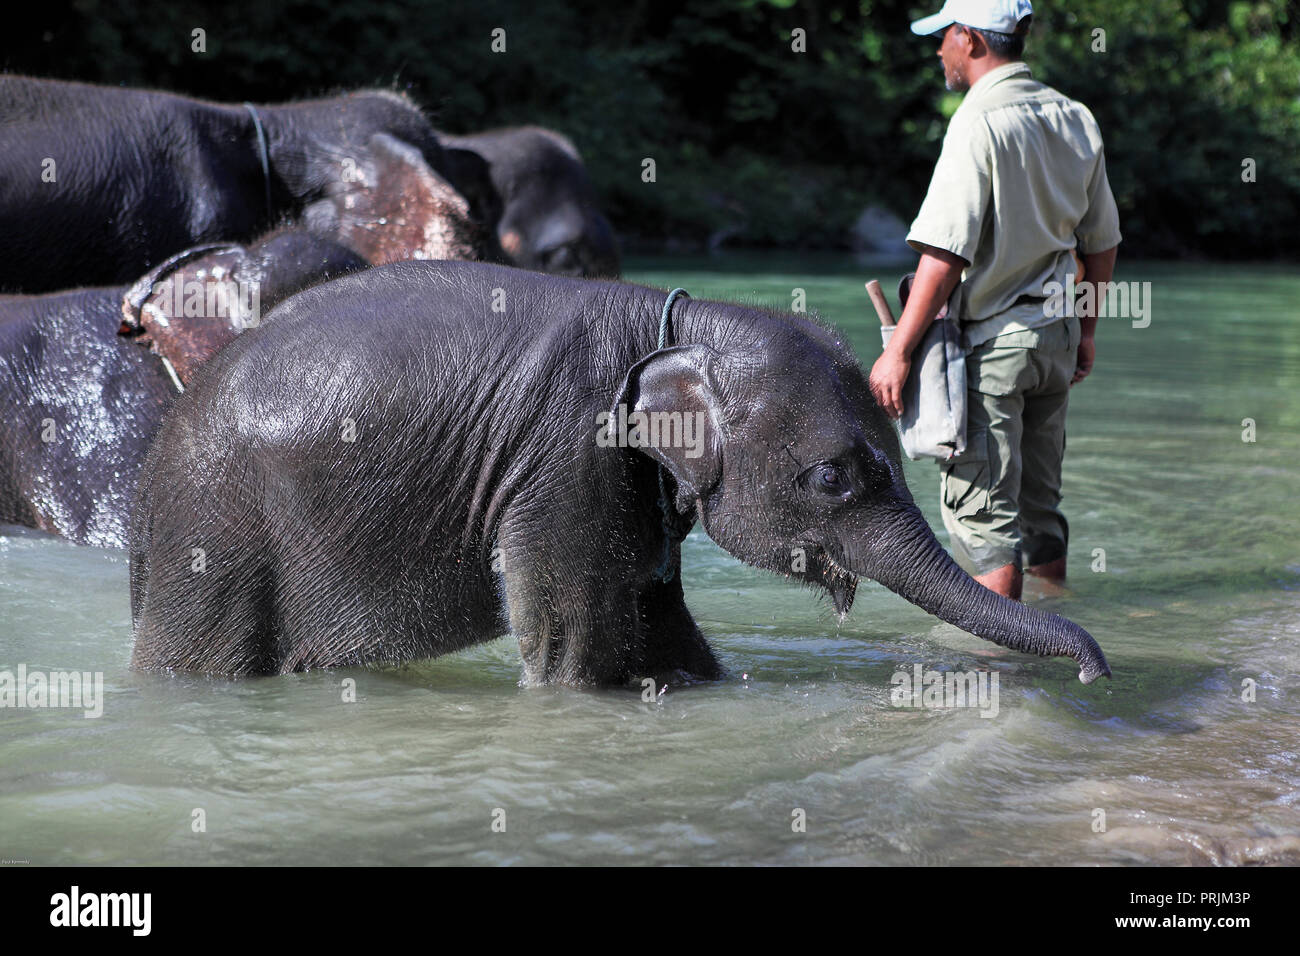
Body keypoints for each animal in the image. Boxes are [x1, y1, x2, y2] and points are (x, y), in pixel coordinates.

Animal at [129, 257, 1107, 686]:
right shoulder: (566, 457)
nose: (1096, 672)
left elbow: (661, 621)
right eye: (832, 479)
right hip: (214, 540)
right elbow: (576, 647)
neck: (680, 322)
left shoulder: (630, 488)